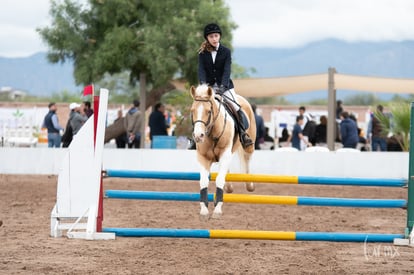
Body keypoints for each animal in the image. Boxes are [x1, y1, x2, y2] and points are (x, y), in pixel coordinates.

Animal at [190, 84, 256, 220]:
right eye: (192, 111)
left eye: (208, 111)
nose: (198, 136)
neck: (212, 132)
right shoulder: (203, 157)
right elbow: (203, 181)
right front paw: (204, 211)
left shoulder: (225, 154)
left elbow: (220, 179)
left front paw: (217, 210)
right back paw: (229, 186)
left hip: (249, 145)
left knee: (247, 158)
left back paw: (249, 184)